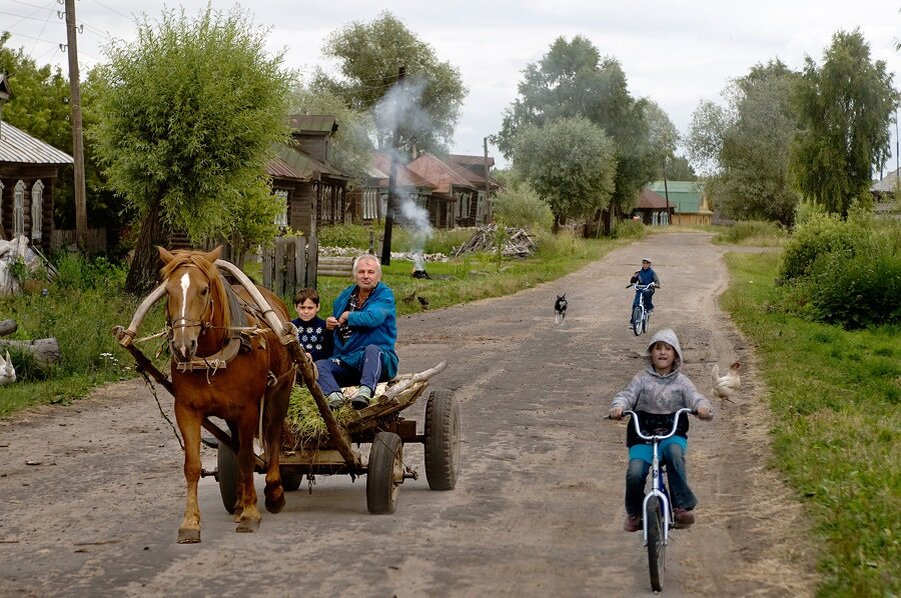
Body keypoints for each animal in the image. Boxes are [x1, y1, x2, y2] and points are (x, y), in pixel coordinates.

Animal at [156, 246, 294, 548]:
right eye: (168, 291)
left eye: (204, 289)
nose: (183, 346)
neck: (212, 358)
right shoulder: (186, 410)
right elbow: (193, 466)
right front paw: (190, 523)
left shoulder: (248, 409)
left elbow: (246, 458)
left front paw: (252, 515)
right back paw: (240, 502)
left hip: (280, 391)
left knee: (274, 437)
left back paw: (274, 492)